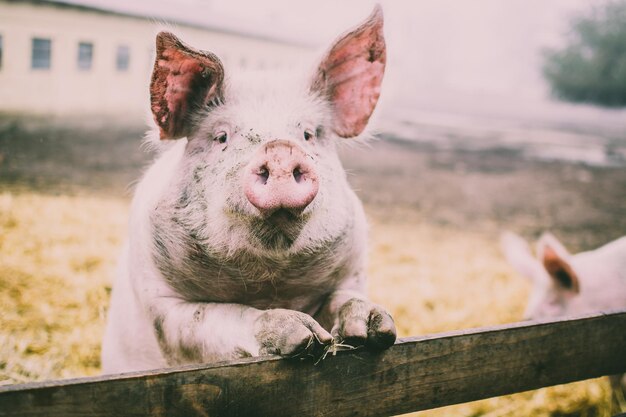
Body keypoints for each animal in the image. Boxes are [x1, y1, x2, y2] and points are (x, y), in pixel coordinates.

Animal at [102, 5, 394, 374]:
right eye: (221, 136)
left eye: (309, 134)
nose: (280, 148)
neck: (267, 284)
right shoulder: (161, 306)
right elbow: (216, 316)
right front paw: (304, 337)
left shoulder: (353, 274)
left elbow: (344, 298)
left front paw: (375, 328)